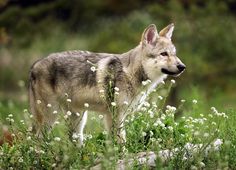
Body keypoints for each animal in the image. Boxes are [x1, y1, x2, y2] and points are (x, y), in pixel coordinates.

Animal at [28, 22, 185, 145]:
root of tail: (34, 66)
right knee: (36, 141)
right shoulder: (115, 114)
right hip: (50, 117)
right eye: (164, 54)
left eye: (174, 54)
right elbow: (120, 141)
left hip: (78, 119)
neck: (130, 73)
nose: (182, 66)